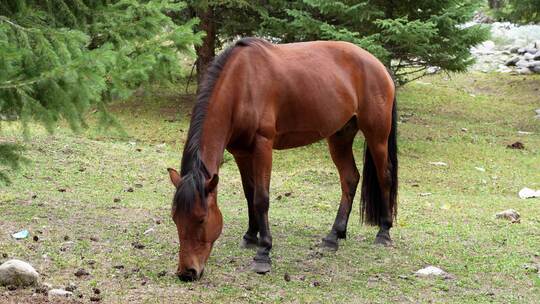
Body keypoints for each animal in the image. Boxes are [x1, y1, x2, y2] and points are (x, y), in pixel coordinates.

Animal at [167, 36, 398, 282]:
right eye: (175, 219)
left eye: (201, 219)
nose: (187, 272)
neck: (242, 85)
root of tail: (378, 65)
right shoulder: (240, 152)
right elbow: (249, 193)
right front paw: (251, 236)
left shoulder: (263, 146)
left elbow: (261, 198)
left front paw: (263, 253)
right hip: (340, 136)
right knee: (350, 179)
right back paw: (334, 236)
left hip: (377, 135)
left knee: (385, 177)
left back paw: (383, 232)